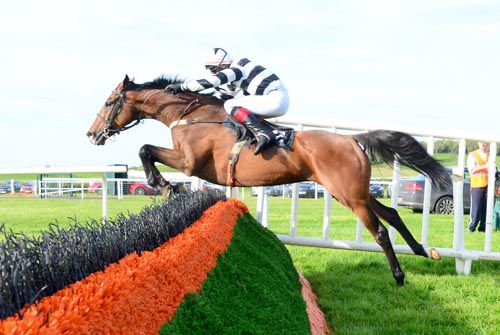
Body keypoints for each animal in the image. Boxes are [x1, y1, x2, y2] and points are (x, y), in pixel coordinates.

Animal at [86, 75, 450, 286]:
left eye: (108, 102)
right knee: (393, 213)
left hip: (350, 195)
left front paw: (164, 185)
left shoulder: (190, 163)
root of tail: (352, 140)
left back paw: (399, 276)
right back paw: (420, 250)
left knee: (380, 230)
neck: (191, 115)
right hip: (354, 192)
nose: (92, 134)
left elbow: (146, 149)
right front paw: (165, 185)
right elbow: (146, 150)